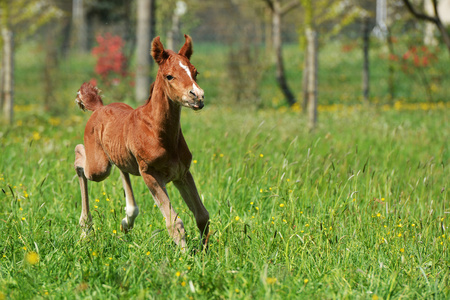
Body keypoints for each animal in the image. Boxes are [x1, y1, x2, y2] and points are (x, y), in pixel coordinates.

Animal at [73, 35, 209, 250]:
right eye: (169, 76)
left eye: (195, 72)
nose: (198, 96)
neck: (159, 133)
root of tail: (99, 108)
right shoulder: (150, 174)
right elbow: (175, 222)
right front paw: (185, 256)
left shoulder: (182, 174)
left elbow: (202, 215)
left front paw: (204, 252)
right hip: (99, 168)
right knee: (80, 156)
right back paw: (86, 228)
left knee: (121, 168)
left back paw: (127, 219)